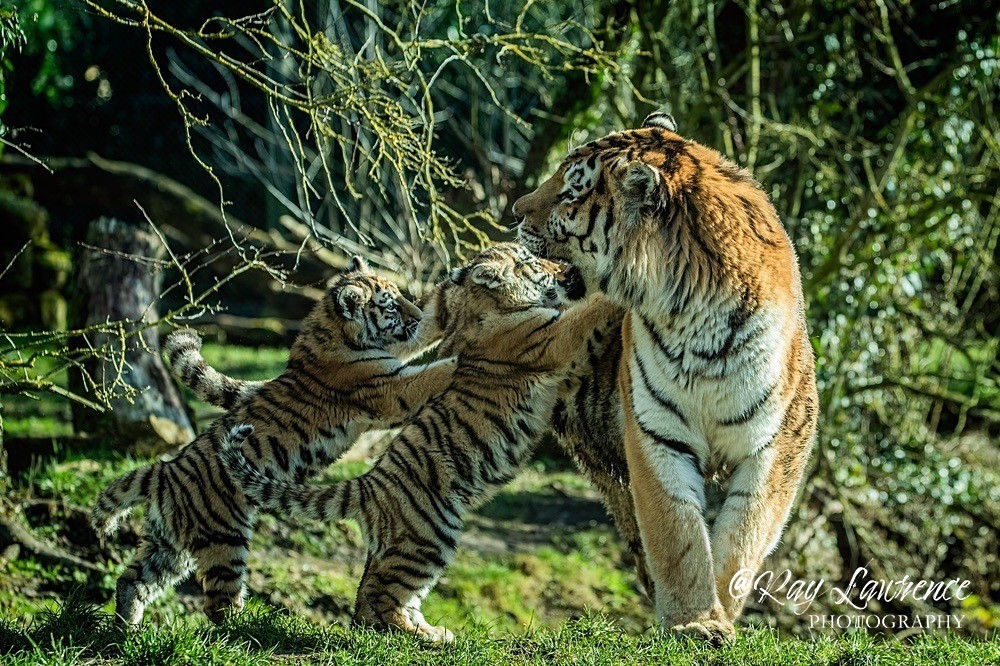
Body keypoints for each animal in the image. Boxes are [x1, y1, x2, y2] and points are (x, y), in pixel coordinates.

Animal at [91, 256, 457, 625]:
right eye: (390, 306)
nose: (415, 315)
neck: (333, 328)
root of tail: (162, 473)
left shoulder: (393, 355)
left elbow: (418, 340)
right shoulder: (388, 389)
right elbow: (430, 374)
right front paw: (458, 361)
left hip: (168, 546)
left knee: (133, 580)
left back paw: (127, 628)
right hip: (225, 540)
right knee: (218, 604)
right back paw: (245, 629)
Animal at [216, 242, 623, 641]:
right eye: (530, 263)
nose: (565, 271)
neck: (489, 305)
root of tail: (367, 484)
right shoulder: (554, 337)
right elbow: (589, 311)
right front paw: (616, 294)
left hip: (409, 542)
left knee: (373, 596)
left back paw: (427, 630)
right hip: (429, 535)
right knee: (381, 595)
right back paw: (421, 635)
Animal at [513, 112, 819, 643]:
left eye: (571, 192)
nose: (515, 211)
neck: (696, 318)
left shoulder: (778, 445)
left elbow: (744, 534)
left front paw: (721, 612)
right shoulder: (656, 435)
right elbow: (677, 534)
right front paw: (693, 621)